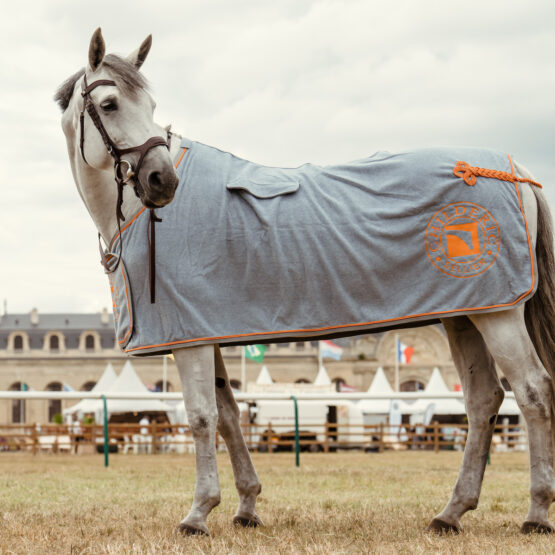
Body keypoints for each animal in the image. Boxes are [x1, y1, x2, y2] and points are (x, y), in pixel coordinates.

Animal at [57, 28, 555, 536]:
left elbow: (201, 417)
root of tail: (513, 168)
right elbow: (230, 416)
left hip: (500, 314)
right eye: (111, 104)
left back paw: (536, 512)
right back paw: (451, 512)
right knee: (483, 399)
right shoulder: (205, 331)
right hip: (467, 315)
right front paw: (246, 506)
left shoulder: (188, 337)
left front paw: (198, 513)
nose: (163, 180)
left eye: (152, 106)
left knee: (533, 392)